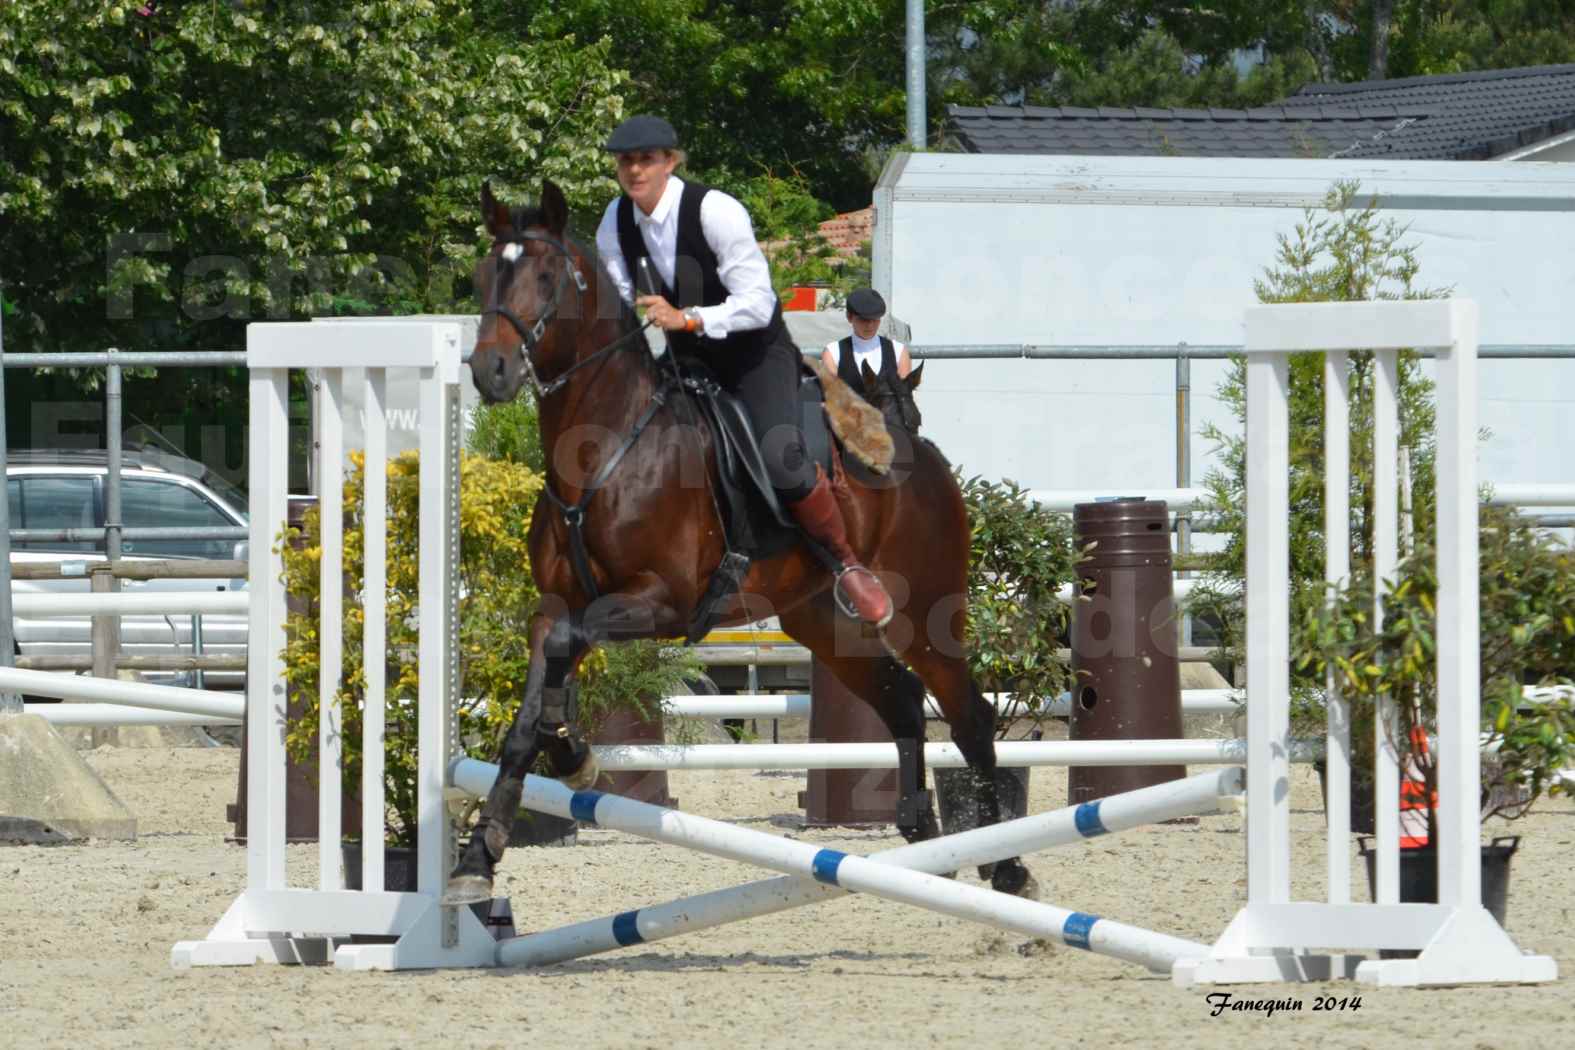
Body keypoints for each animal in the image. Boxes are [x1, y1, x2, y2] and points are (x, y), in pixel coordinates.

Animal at [444, 178, 1033, 906]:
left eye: (548, 277)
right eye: (482, 277)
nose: (490, 370)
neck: (602, 450)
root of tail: (921, 455)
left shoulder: (660, 602)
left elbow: (562, 650)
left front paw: (568, 760)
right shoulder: (557, 604)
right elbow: (532, 702)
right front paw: (487, 846)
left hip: (923, 613)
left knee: (970, 715)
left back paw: (1005, 864)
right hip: (821, 621)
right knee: (900, 701)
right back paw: (925, 839)